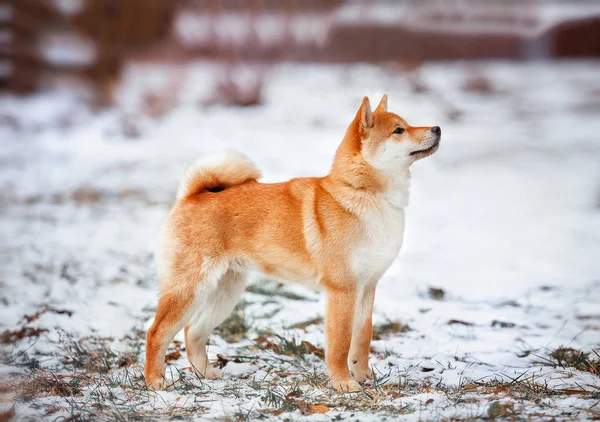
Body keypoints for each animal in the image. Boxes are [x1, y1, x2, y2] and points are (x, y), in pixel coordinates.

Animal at [145, 95, 440, 392]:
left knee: (192, 332)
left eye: (406, 124)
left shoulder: (367, 287)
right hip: (190, 289)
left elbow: (362, 338)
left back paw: (205, 373)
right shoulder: (343, 290)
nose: (437, 128)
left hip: (225, 293)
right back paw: (155, 381)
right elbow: (340, 343)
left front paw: (363, 375)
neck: (365, 195)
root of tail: (191, 196)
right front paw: (343, 383)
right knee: (156, 332)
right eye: (398, 130)